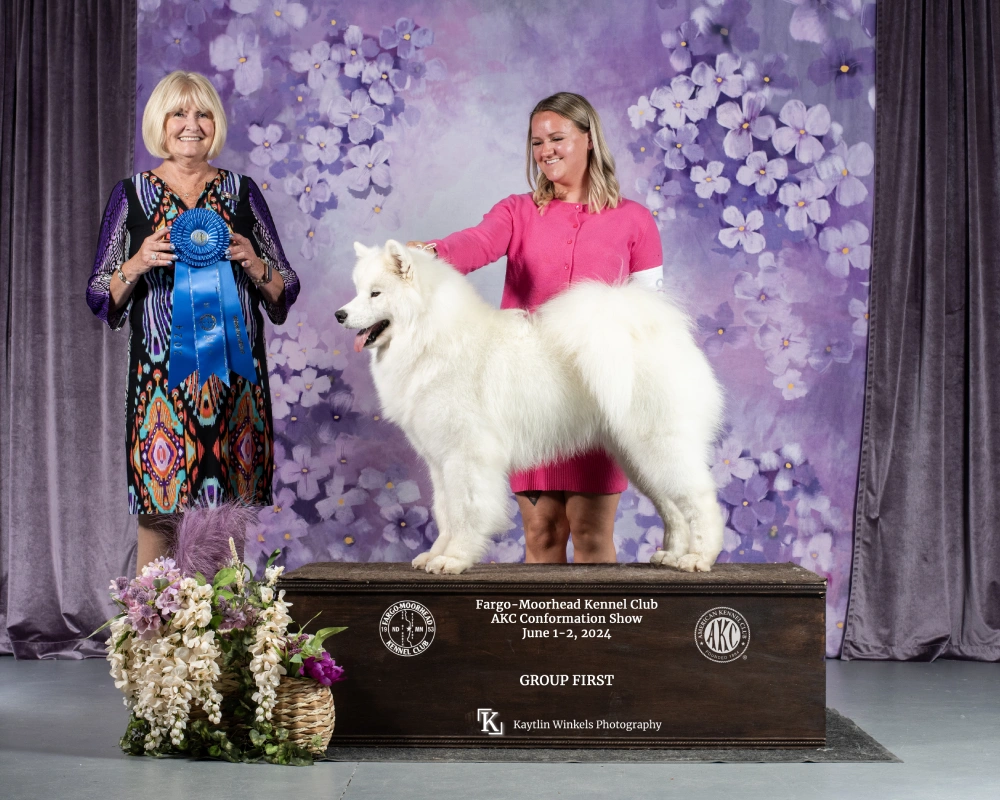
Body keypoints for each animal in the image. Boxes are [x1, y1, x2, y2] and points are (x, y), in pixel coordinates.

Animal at [338, 239, 728, 576]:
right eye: (356, 290)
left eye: (375, 293)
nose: (339, 314)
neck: (431, 339)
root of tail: (655, 330)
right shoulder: (440, 460)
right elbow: (445, 512)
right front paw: (436, 554)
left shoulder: (467, 456)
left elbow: (465, 512)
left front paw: (454, 559)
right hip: (637, 457)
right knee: (673, 507)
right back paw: (672, 555)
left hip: (660, 445)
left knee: (700, 500)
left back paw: (698, 557)